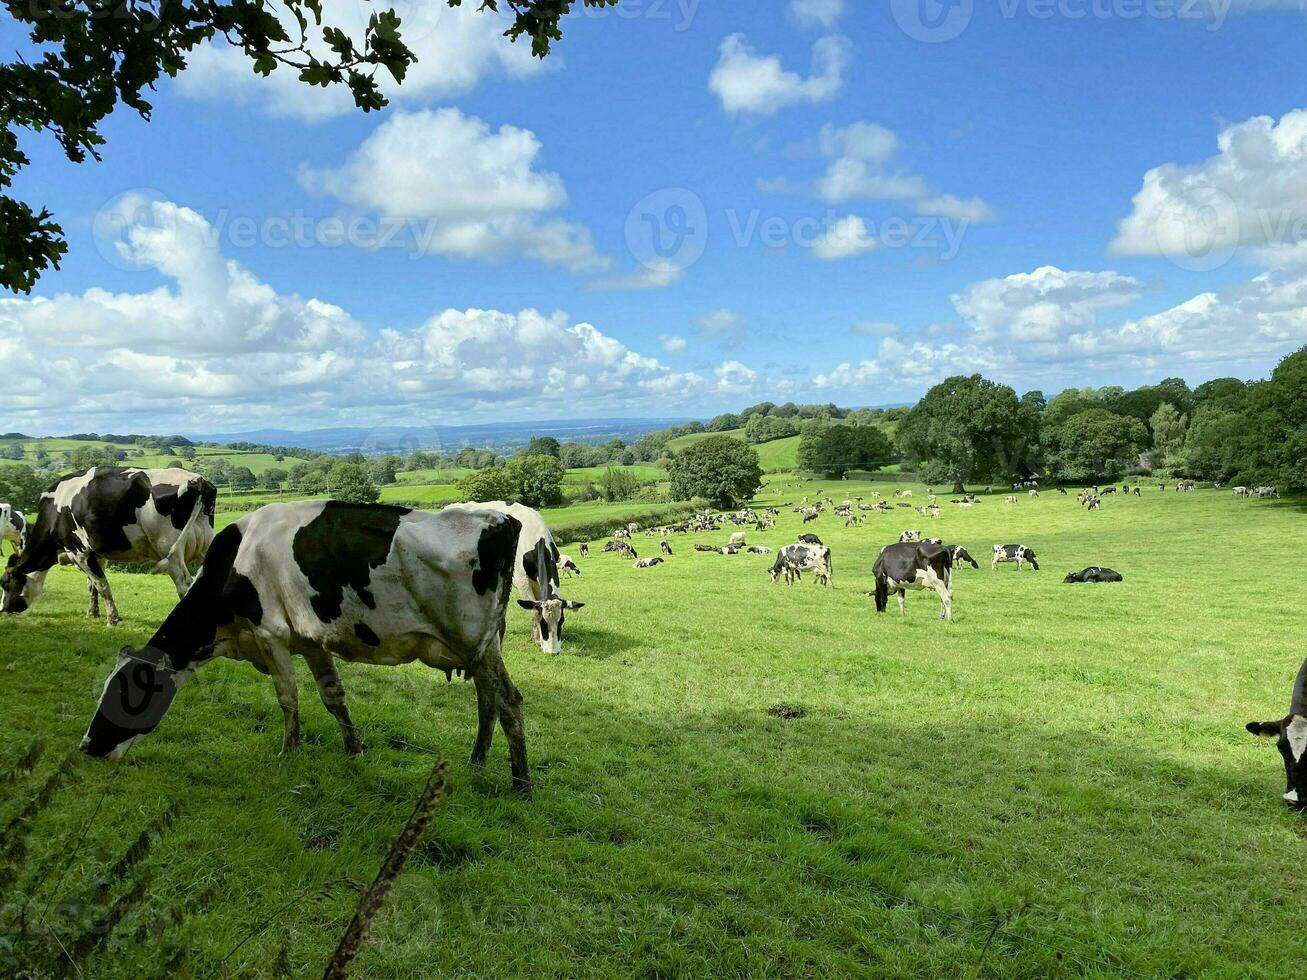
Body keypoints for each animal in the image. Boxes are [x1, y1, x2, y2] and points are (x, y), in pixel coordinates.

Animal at [1, 465, 214, 621]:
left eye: (5, 583)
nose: (3, 609)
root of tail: (197, 480)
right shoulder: (96, 553)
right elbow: (92, 585)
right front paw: (93, 613)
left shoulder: (79, 551)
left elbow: (101, 584)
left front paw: (112, 618)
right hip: (206, 543)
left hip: (169, 548)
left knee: (184, 584)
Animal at [79, 501, 530, 794]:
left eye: (125, 694)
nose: (86, 747)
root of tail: (499, 519)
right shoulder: (312, 640)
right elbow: (333, 696)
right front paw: (354, 750)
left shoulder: (270, 634)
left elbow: (288, 698)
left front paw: (289, 751)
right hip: (483, 645)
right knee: (488, 699)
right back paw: (477, 762)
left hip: (472, 638)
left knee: (508, 699)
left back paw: (521, 782)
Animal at [441, 501, 580, 655]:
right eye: (543, 623)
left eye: (561, 621)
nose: (553, 652)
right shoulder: (522, 581)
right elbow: (534, 611)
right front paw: (538, 640)